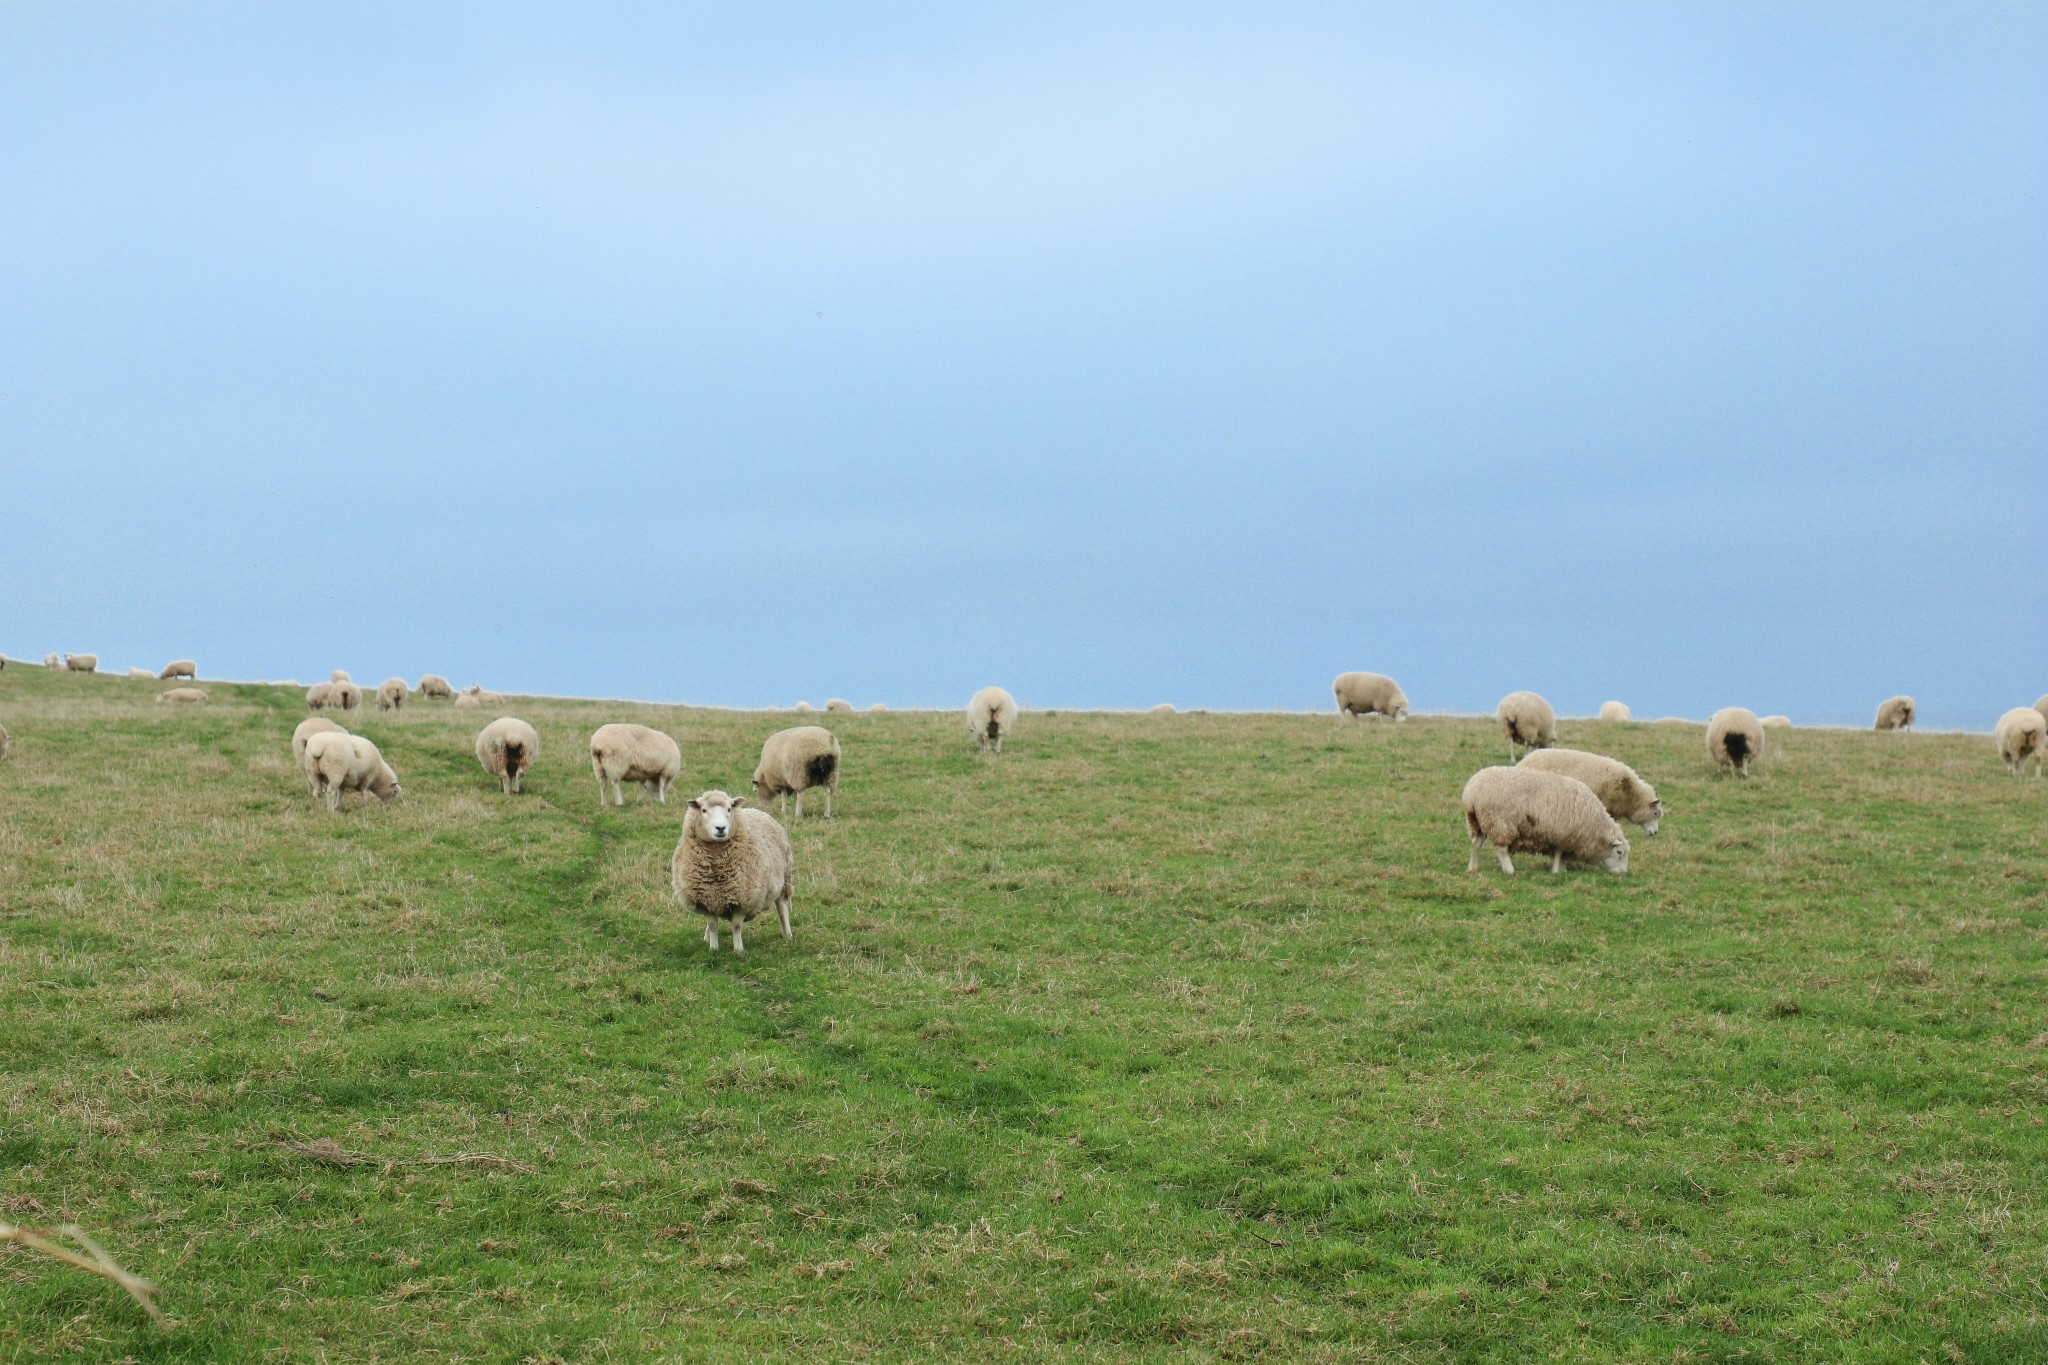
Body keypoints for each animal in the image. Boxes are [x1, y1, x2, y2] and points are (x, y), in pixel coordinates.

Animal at [675, 789, 794, 961]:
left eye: (729, 809)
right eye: (703, 810)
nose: (721, 828)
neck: (716, 868)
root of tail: (755, 810)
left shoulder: (742, 899)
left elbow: (737, 926)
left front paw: (738, 950)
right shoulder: (705, 899)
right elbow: (713, 925)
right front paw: (713, 948)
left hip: (784, 879)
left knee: (782, 908)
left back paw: (787, 935)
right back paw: (706, 938)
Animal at [1458, 769, 1630, 875]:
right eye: (1619, 852)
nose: (1623, 873)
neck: (1595, 825)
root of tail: (1471, 793)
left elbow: (1560, 854)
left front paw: (1562, 869)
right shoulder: (1564, 835)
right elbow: (1559, 854)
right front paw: (1557, 871)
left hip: (1477, 821)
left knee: (1476, 844)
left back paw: (1473, 867)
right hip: (1499, 823)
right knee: (1501, 849)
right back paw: (1509, 870)